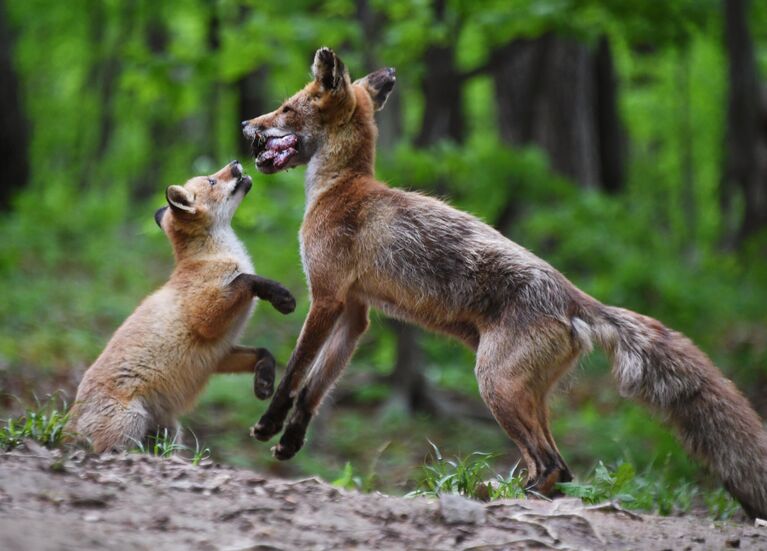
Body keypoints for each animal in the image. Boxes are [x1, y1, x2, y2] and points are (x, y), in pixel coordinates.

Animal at [67, 161, 296, 452]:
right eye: (211, 181)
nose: (234, 164)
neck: (214, 256)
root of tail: (70, 417)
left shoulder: (219, 353)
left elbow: (264, 352)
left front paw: (264, 382)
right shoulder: (207, 321)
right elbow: (246, 279)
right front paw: (280, 295)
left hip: (169, 433)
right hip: (130, 423)